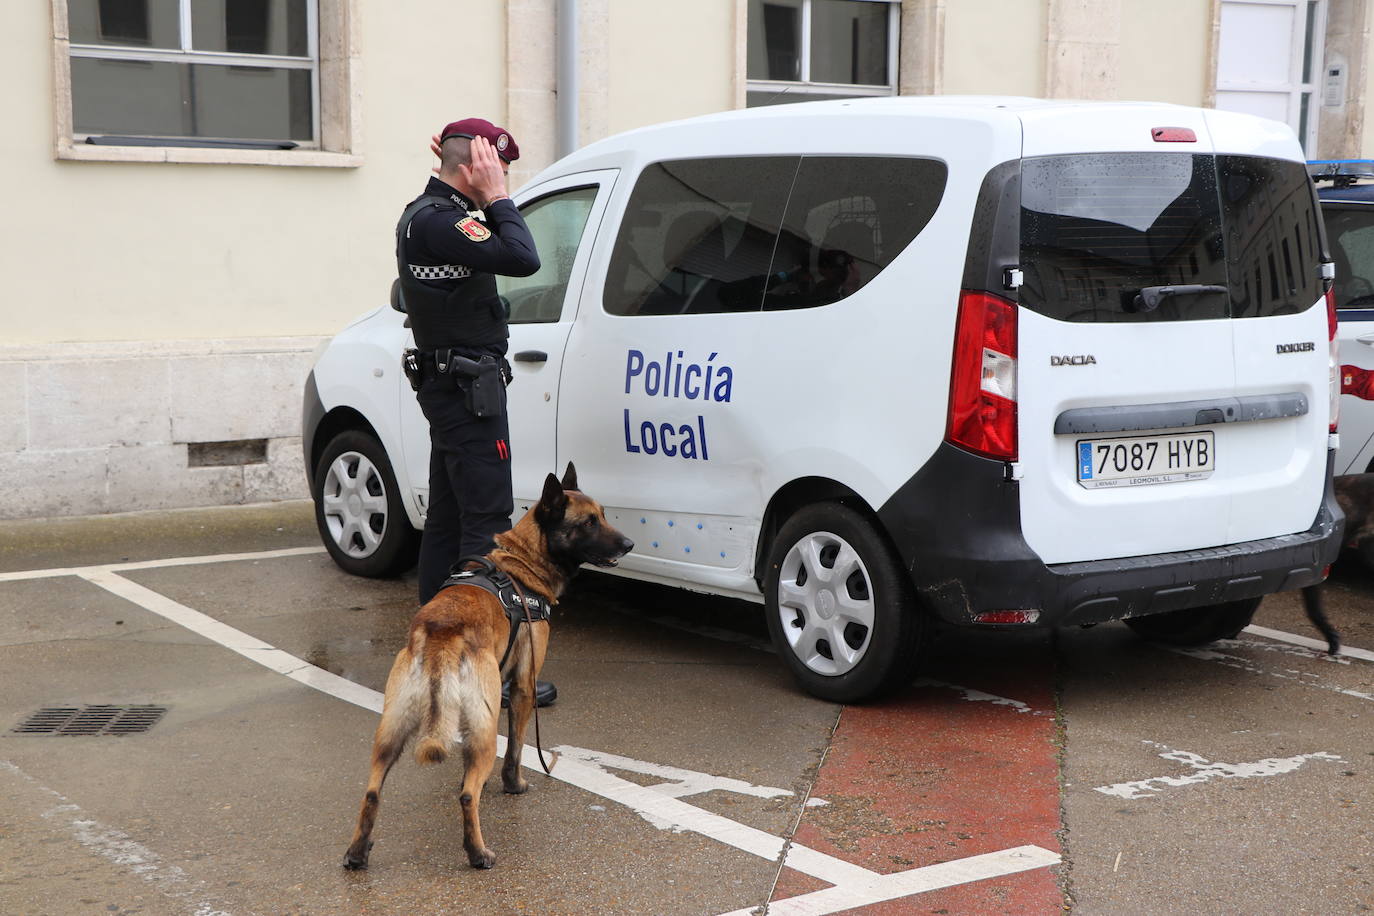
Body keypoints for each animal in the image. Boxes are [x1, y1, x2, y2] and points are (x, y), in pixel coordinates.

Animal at [351, 466, 634, 873]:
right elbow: (515, 748)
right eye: (589, 522)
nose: (628, 544)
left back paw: (357, 853)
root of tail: (441, 633)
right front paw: (514, 785)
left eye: (604, 515)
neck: (522, 562)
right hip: (483, 733)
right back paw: (478, 853)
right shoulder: (522, 688)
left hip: (392, 732)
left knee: (372, 792)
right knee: (468, 797)